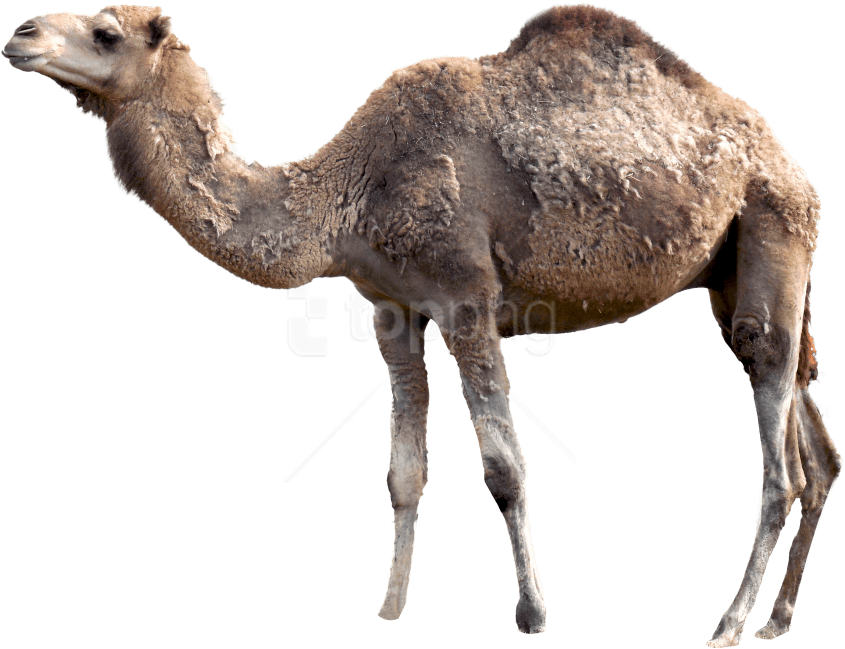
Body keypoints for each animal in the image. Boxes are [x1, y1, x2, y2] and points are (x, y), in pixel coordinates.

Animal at [4, 3, 840, 643]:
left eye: (105, 33)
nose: (21, 34)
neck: (346, 189)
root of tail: (789, 163)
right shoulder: (390, 307)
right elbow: (403, 471)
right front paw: (390, 606)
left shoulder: (467, 295)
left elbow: (504, 468)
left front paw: (531, 613)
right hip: (733, 274)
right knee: (815, 443)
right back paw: (776, 618)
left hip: (770, 223)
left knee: (781, 458)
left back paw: (727, 624)